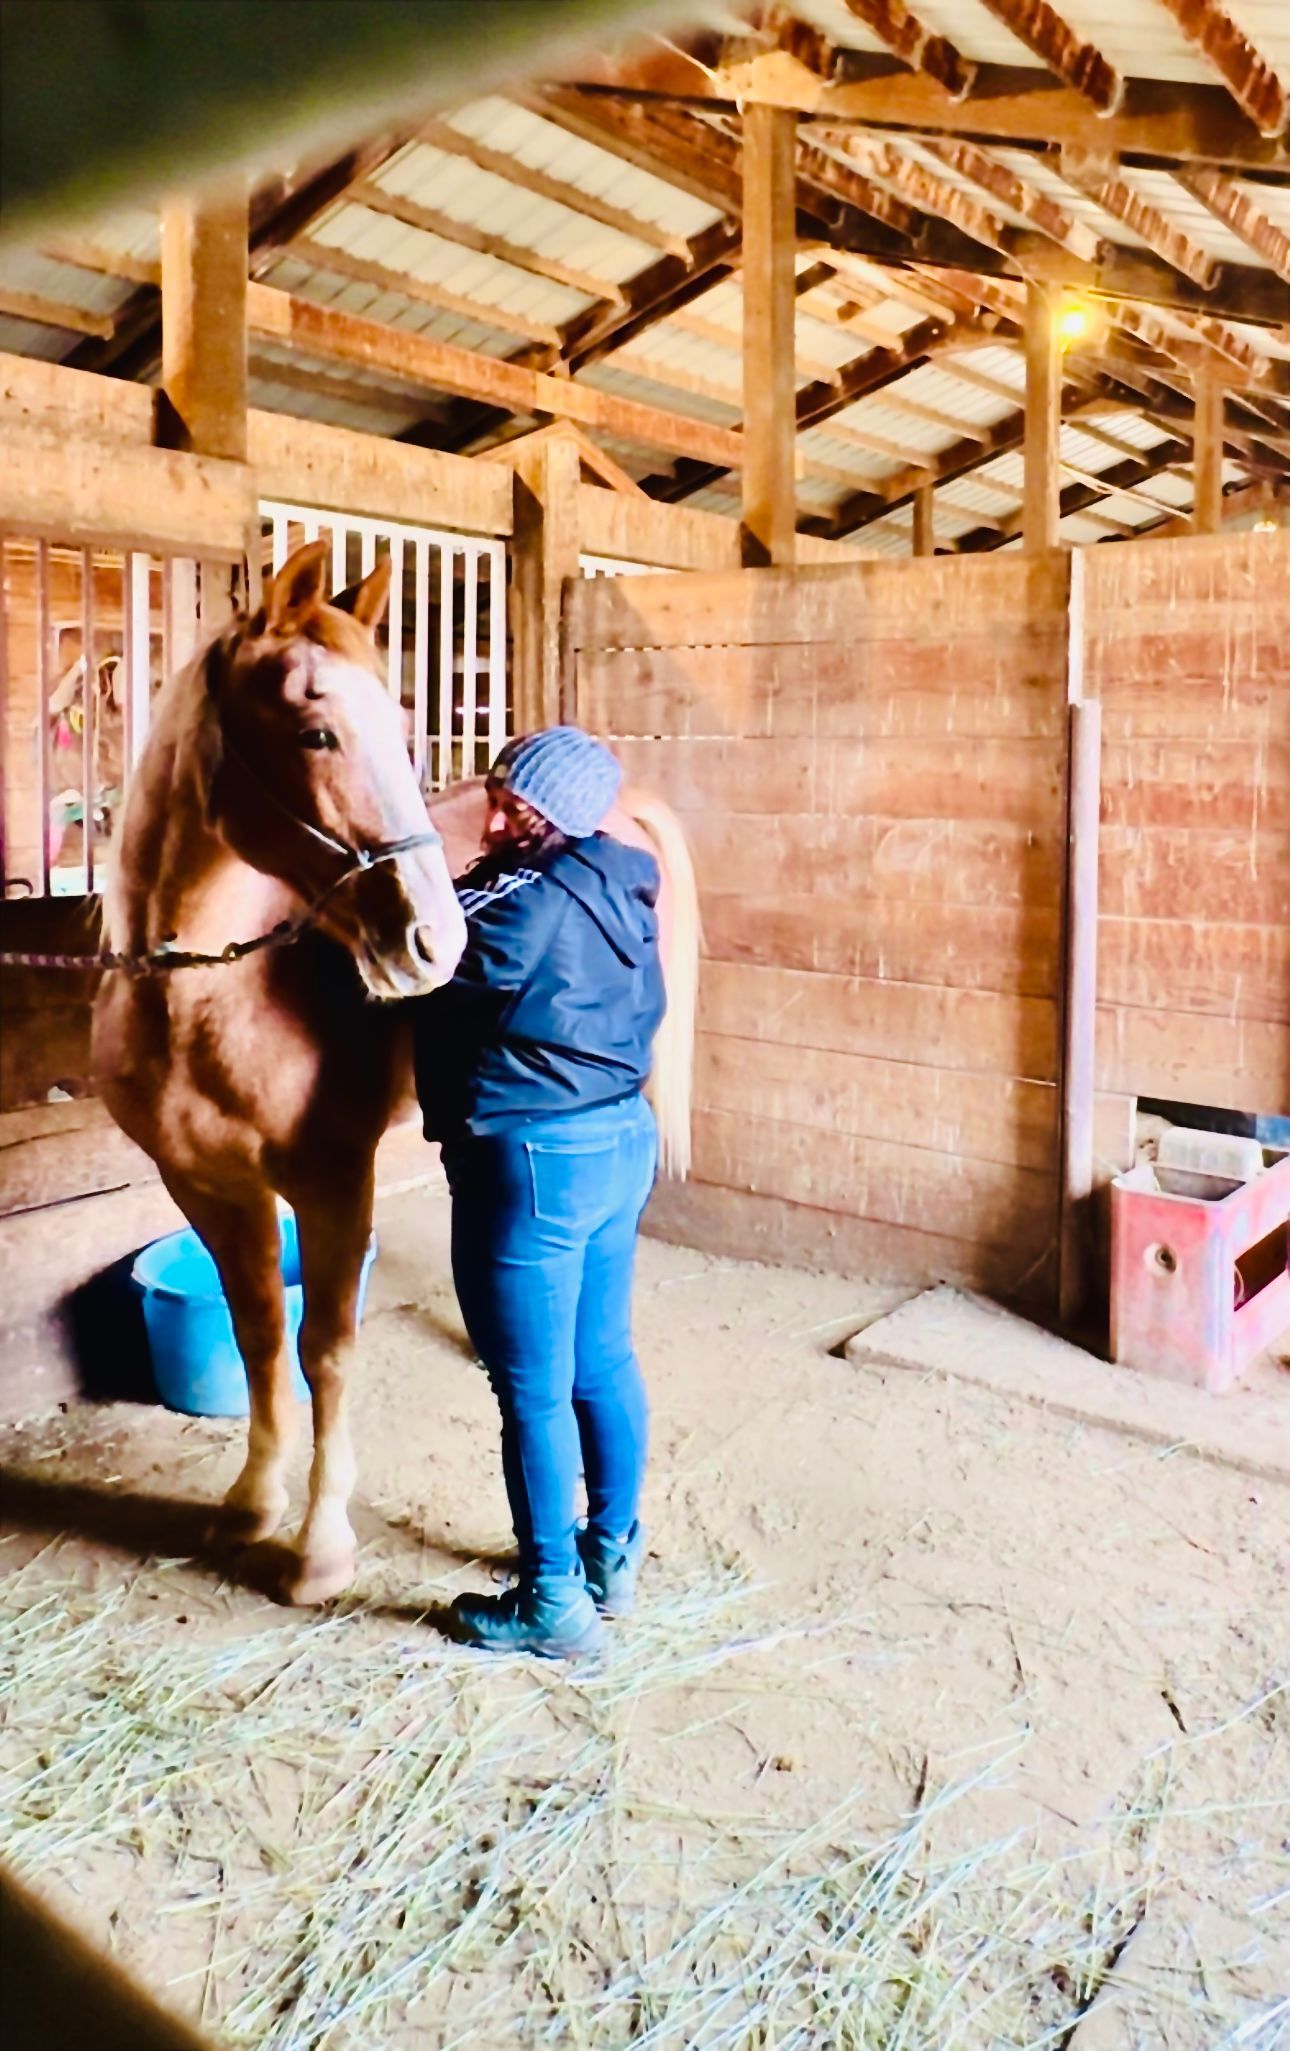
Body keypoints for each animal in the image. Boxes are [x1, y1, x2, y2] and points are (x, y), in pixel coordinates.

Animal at [93, 540, 700, 1606]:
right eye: (318, 730)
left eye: (406, 728)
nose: (436, 942)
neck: (206, 991)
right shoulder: (205, 1183)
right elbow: (260, 1331)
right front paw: (249, 1504)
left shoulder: (333, 1180)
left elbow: (325, 1350)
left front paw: (320, 1546)